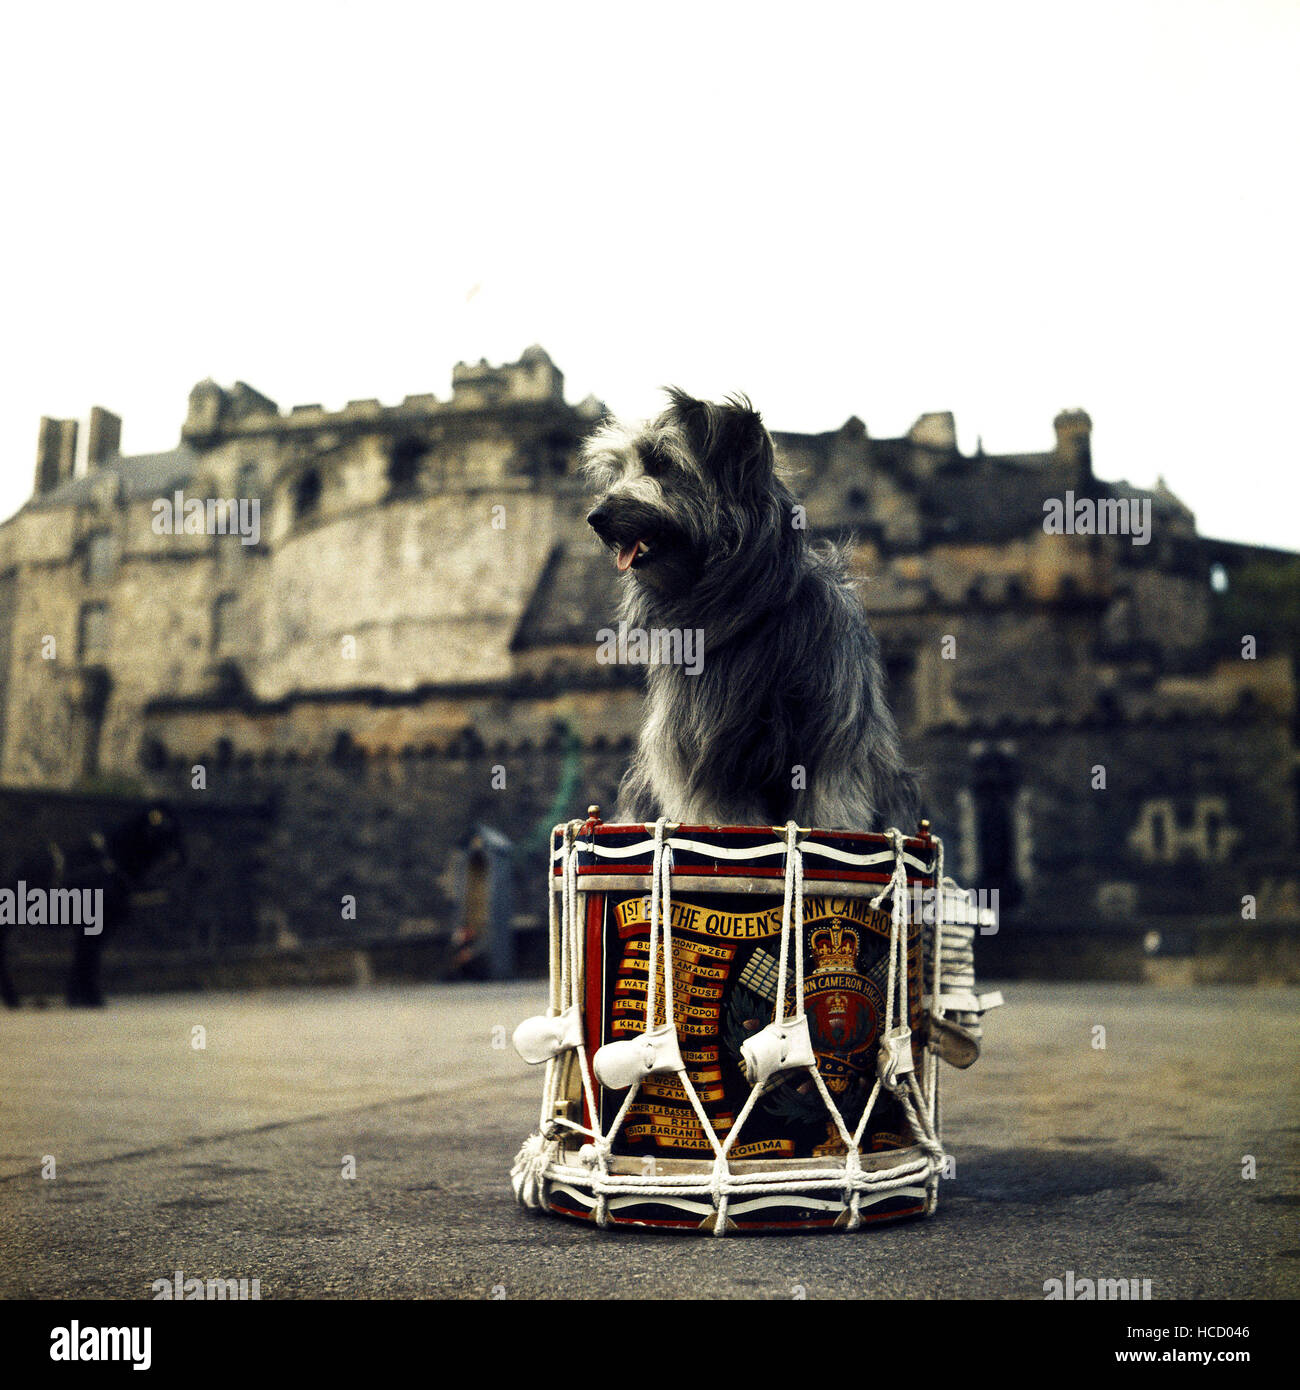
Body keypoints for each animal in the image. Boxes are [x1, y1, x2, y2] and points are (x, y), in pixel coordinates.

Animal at [583, 386, 917, 828]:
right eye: (618, 470)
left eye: (661, 462)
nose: (596, 517)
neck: (749, 611)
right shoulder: (707, 753)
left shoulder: (830, 748)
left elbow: (829, 804)